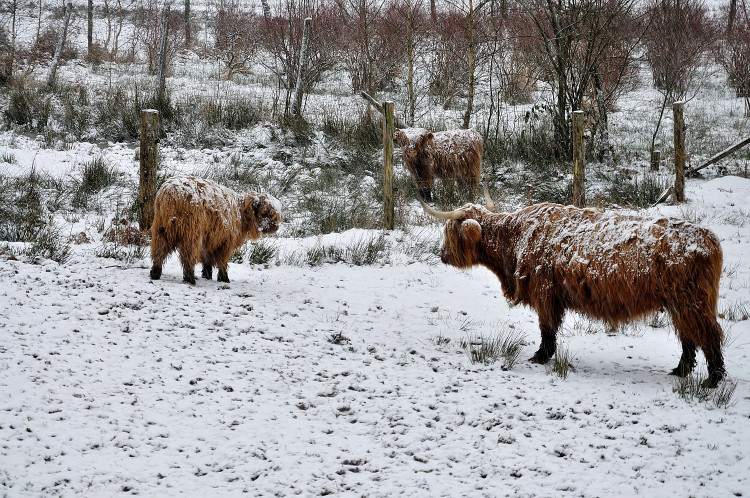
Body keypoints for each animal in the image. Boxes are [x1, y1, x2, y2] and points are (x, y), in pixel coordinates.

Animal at [149, 175, 282, 284]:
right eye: (266, 212)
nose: (275, 226)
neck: (241, 213)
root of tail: (171, 192)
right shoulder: (226, 240)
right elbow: (222, 260)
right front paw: (224, 277)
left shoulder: (209, 238)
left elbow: (206, 258)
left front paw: (207, 274)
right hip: (191, 232)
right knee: (187, 255)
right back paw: (190, 278)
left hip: (160, 228)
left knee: (159, 250)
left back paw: (155, 272)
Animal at [420, 196, 724, 388]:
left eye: (449, 232)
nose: (441, 254)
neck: (515, 240)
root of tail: (710, 239)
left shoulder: (544, 291)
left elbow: (547, 327)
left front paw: (540, 356)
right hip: (678, 302)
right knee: (688, 336)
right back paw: (680, 371)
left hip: (691, 300)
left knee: (708, 334)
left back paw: (713, 379)